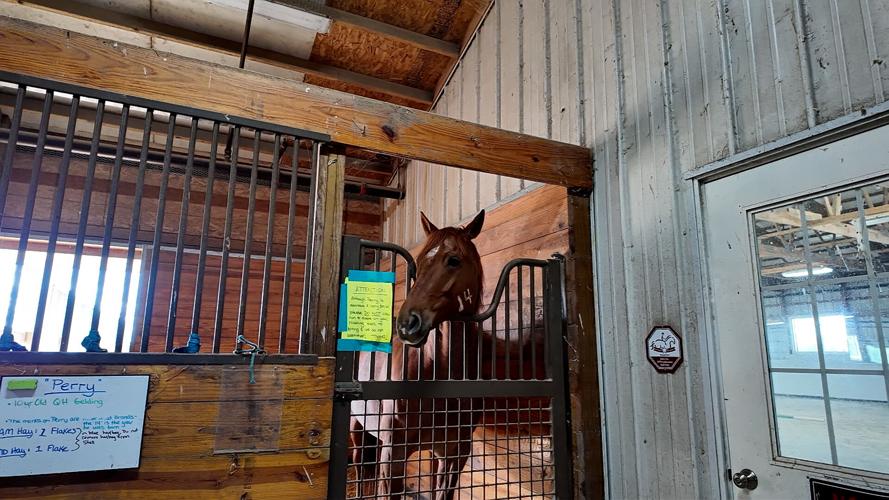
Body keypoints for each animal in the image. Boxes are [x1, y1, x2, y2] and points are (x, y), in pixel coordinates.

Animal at [348, 209, 487, 499]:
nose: (407, 323)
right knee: (359, 465)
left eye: (453, 260)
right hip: (357, 425)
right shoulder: (394, 455)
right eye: (419, 263)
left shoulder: (454, 455)